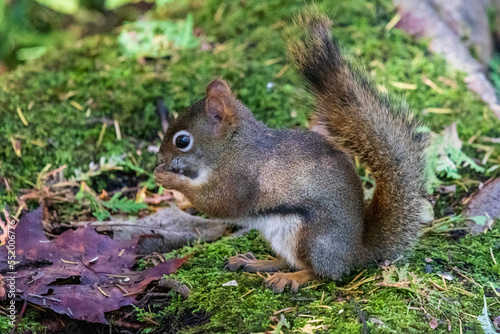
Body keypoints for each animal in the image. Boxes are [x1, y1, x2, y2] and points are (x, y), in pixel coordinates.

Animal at [153, 12, 430, 292]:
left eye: (182, 140)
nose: (160, 158)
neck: (232, 148)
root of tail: (354, 252)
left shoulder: (240, 179)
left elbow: (218, 204)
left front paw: (169, 178)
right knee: (287, 261)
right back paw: (257, 262)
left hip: (308, 237)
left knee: (320, 272)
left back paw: (292, 278)